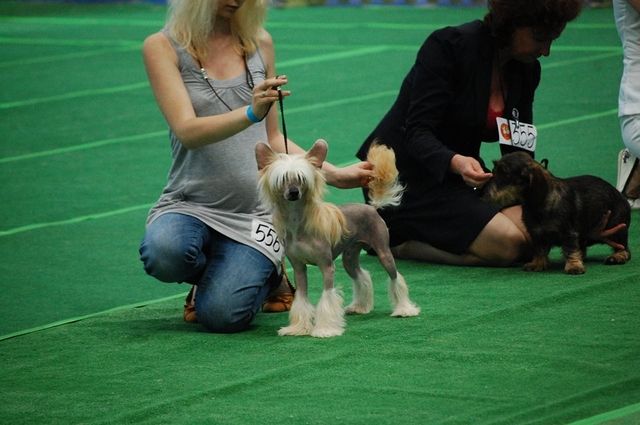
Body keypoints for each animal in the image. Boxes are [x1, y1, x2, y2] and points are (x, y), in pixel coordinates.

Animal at [255, 139, 420, 337]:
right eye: (282, 179)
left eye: (301, 179)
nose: (294, 192)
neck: (298, 224)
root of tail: (371, 207)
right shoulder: (299, 268)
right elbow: (301, 298)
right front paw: (298, 328)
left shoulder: (327, 266)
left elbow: (327, 296)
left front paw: (325, 329)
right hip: (349, 256)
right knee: (361, 276)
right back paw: (359, 307)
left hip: (383, 252)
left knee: (395, 278)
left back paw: (404, 309)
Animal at [483, 151, 631, 274]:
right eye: (494, 170)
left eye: (505, 173)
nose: (482, 192)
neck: (537, 204)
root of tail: (621, 197)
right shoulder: (536, 233)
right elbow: (539, 250)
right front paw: (537, 264)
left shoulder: (568, 232)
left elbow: (570, 248)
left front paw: (574, 266)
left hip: (617, 228)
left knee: (624, 249)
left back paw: (617, 257)